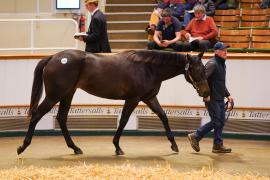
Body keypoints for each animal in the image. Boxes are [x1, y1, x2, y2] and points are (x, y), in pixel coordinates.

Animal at [16, 48, 210, 155]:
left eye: (204, 69)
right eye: (196, 70)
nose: (206, 92)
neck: (148, 67)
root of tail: (53, 57)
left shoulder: (149, 98)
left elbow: (163, 116)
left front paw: (174, 145)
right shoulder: (133, 99)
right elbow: (123, 121)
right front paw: (117, 147)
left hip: (67, 94)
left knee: (62, 118)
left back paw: (75, 148)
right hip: (54, 95)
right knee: (37, 115)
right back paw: (23, 146)